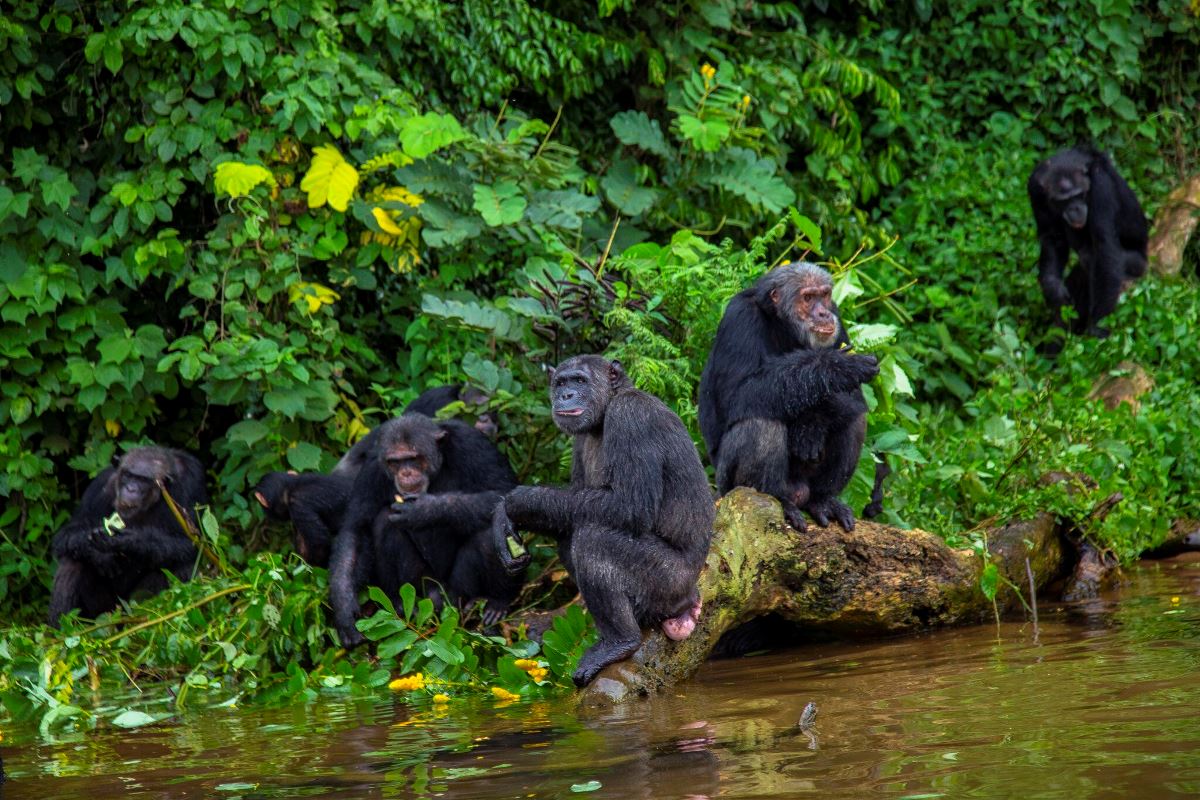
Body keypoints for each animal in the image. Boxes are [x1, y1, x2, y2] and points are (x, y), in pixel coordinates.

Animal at [47, 450, 204, 623]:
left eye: (143, 480)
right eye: (128, 475)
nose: (131, 488)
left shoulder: (190, 484)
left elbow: (189, 543)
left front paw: (127, 540)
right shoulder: (100, 485)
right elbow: (69, 532)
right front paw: (100, 555)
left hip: (131, 606)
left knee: (183, 564)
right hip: (103, 611)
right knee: (73, 561)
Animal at [328, 417, 520, 647]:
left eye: (413, 458)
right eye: (395, 462)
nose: (406, 473)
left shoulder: (472, 443)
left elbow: (502, 491)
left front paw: (424, 509)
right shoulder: (372, 469)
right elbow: (356, 529)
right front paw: (344, 610)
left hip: (457, 591)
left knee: (490, 532)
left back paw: (497, 603)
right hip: (421, 586)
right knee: (385, 522)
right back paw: (398, 604)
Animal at [492, 357, 715, 690]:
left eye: (580, 381)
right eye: (560, 382)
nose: (566, 395)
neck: (605, 411)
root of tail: (689, 597)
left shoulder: (631, 417)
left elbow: (629, 505)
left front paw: (517, 502)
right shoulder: (578, 441)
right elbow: (576, 496)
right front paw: (502, 521)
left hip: (669, 582)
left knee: (594, 539)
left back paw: (620, 641)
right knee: (570, 530)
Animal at [696, 262, 883, 534]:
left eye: (824, 295)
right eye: (807, 298)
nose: (823, 313)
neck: (783, 326)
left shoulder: (838, 317)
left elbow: (854, 397)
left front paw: (812, 423)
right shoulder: (739, 319)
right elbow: (738, 392)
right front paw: (837, 367)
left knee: (854, 419)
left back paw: (823, 501)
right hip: (728, 486)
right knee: (760, 423)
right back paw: (777, 502)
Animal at [1027, 146, 1147, 338]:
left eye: (1079, 195)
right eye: (1064, 201)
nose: (1075, 208)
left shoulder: (1101, 184)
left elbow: (1104, 245)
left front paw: (1097, 326)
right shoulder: (1035, 188)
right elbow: (1052, 236)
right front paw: (1052, 288)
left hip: (1138, 265)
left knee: (1091, 259)